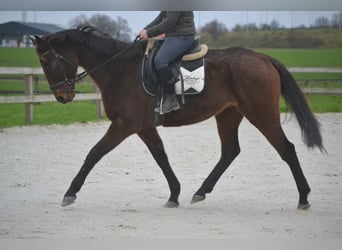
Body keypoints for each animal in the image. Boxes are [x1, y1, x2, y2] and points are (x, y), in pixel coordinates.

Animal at [31, 25, 324, 209]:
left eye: (46, 60)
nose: (62, 96)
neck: (118, 69)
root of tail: (263, 58)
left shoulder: (124, 125)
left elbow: (94, 154)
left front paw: (70, 193)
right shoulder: (144, 126)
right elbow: (161, 157)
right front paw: (174, 194)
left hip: (262, 115)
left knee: (287, 149)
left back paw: (303, 197)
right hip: (228, 115)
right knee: (230, 151)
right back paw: (200, 191)